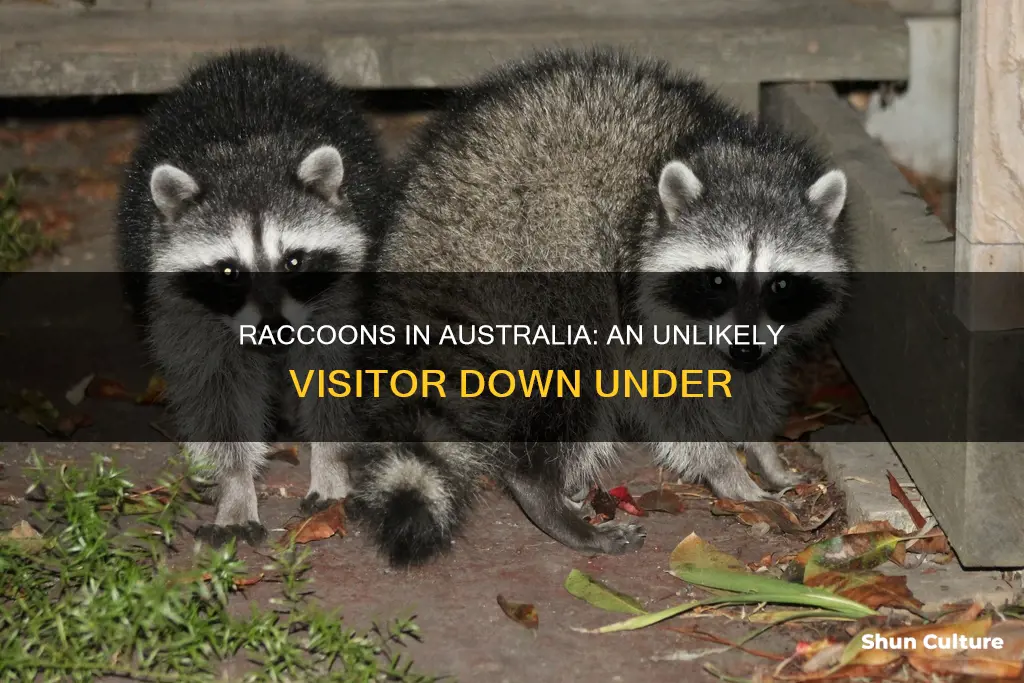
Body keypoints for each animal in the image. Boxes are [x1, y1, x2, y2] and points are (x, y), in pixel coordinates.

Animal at [116, 49, 389, 545]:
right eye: (228, 271)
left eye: (294, 261)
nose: (276, 329)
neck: (244, 157)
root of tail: (248, 56)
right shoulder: (185, 312)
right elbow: (215, 397)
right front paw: (236, 488)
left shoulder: (341, 293)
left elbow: (337, 373)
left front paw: (332, 463)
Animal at [346, 49, 851, 564]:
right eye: (716, 280)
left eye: (781, 284)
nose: (745, 349)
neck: (733, 158)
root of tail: (430, 221)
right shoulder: (638, 292)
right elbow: (663, 392)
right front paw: (728, 471)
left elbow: (753, 378)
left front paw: (764, 452)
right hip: (542, 253)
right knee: (581, 365)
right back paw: (540, 487)